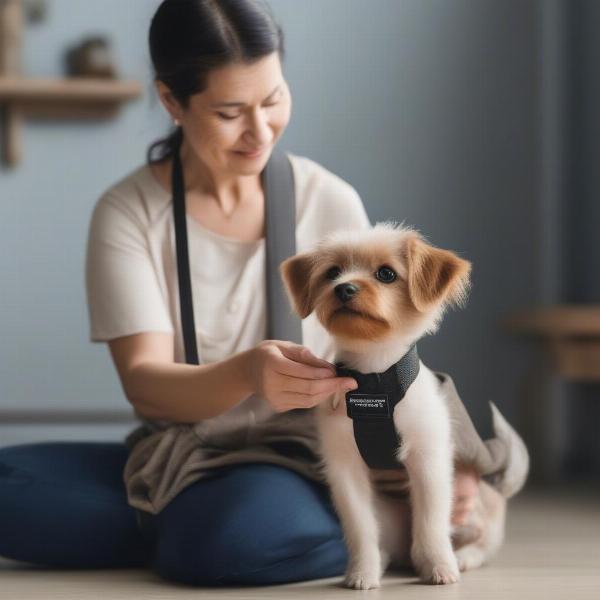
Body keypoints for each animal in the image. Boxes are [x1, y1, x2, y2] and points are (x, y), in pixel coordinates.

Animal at [278, 221, 528, 592]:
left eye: (386, 274)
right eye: (332, 273)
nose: (344, 288)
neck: (374, 381)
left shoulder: (428, 461)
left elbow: (431, 524)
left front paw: (439, 567)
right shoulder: (345, 468)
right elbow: (360, 528)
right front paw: (362, 572)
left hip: (476, 508)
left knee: (482, 542)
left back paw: (461, 557)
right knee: (389, 542)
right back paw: (385, 561)